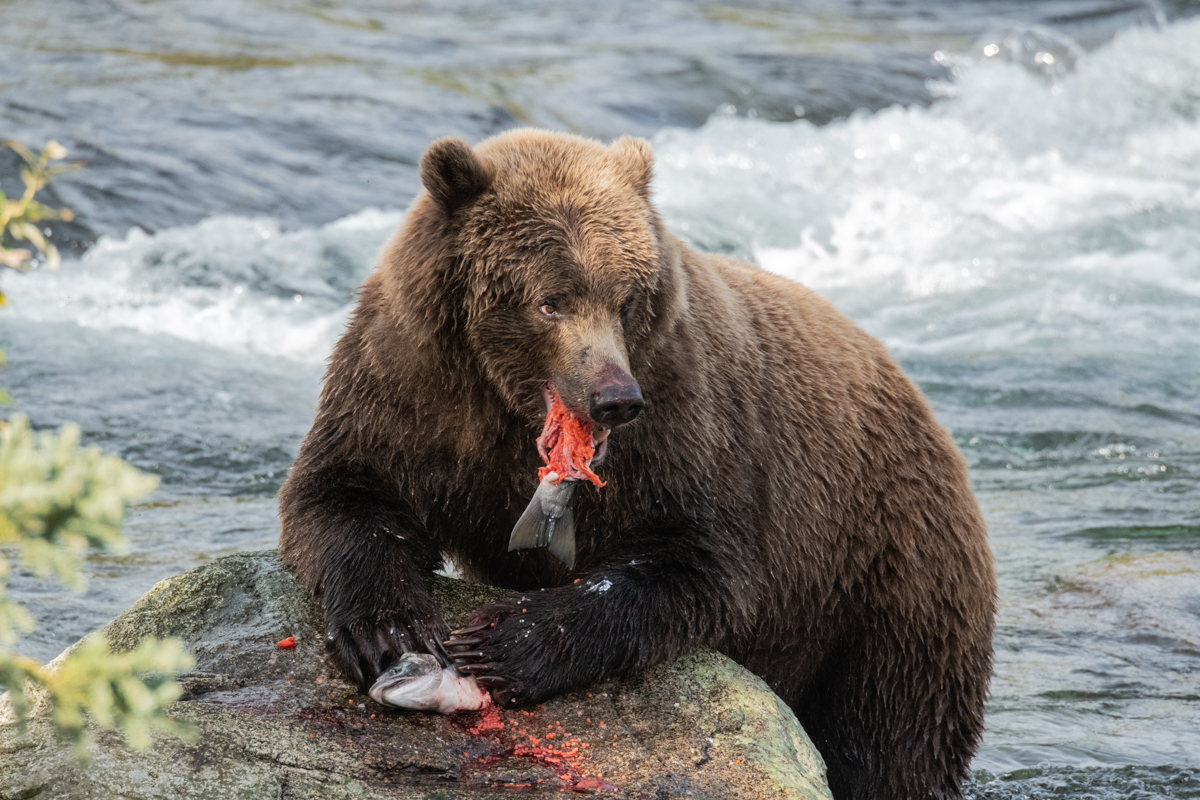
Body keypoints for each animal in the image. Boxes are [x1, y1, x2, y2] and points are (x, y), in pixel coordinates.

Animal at [278, 128, 993, 796]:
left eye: (625, 298)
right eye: (550, 300)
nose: (615, 397)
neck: (510, 408)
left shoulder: (685, 424)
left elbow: (695, 563)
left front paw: (506, 642)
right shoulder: (408, 387)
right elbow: (346, 490)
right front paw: (390, 630)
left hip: (882, 577)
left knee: (889, 730)